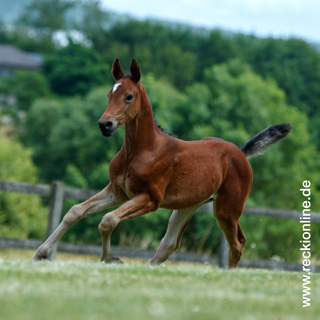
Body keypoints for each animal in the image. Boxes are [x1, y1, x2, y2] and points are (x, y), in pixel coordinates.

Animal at [31, 58, 290, 268]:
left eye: (129, 96)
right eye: (108, 95)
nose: (105, 125)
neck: (140, 151)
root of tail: (241, 154)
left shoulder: (150, 199)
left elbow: (108, 220)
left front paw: (110, 259)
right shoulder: (117, 191)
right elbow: (75, 212)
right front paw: (39, 254)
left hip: (227, 209)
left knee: (237, 242)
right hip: (188, 205)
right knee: (170, 244)